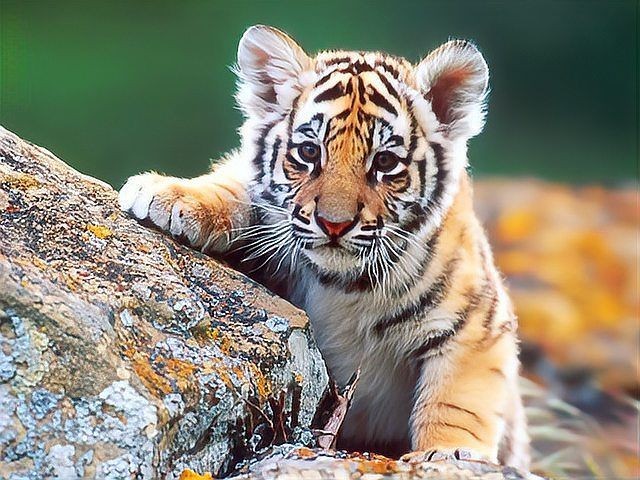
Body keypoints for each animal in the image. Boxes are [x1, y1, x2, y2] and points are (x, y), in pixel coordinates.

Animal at [118, 25, 530, 469]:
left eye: (385, 162)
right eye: (309, 151)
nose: (334, 223)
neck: (343, 285)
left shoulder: (478, 325)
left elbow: (457, 402)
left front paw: (449, 453)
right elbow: (234, 185)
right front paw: (168, 194)